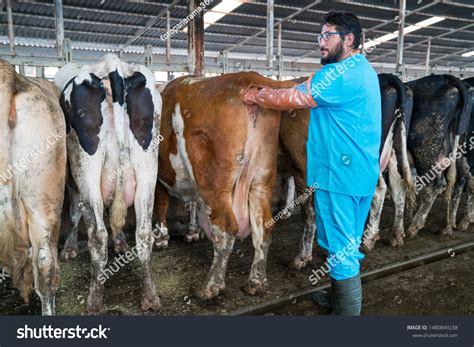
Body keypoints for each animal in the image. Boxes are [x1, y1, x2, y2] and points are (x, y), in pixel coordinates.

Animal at [55, 55, 163, 316]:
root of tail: (112, 64)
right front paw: (121, 243)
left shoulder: (73, 183)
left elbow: (74, 213)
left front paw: (69, 249)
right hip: (147, 165)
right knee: (143, 233)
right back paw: (150, 297)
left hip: (86, 168)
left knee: (97, 235)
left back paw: (94, 299)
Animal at [156, 72, 294, 300]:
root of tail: (246, 79)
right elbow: (191, 203)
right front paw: (193, 232)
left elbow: (160, 205)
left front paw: (161, 238)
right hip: (262, 178)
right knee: (263, 227)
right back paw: (256, 283)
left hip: (213, 183)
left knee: (226, 228)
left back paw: (210, 287)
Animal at [406, 75, 472, 239]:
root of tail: (446, 78)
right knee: (454, 181)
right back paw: (449, 225)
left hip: (425, 149)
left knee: (433, 187)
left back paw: (413, 226)